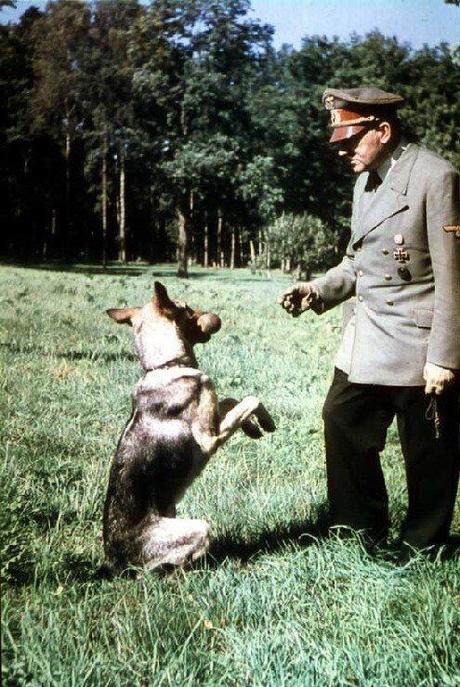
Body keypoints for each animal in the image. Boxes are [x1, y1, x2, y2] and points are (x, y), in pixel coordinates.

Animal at [102, 280, 274, 576]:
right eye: (187, 308)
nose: (214, 316)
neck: (165, 366)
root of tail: (116, 562)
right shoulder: (209, 437)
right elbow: (250, 399)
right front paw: (265, 421)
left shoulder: (213, 416)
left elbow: (231, 401)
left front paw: (252, 426)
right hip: (198, 527)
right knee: (175, 567)